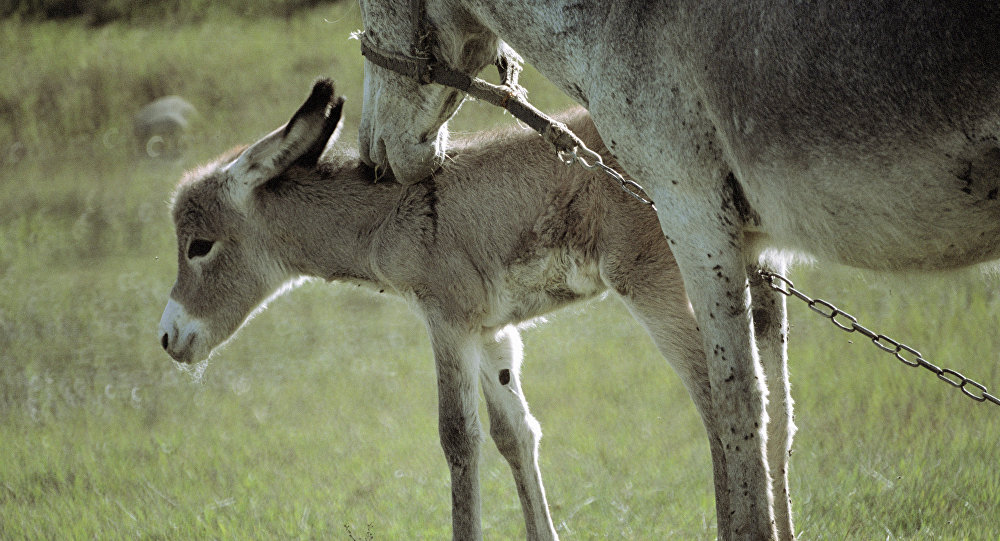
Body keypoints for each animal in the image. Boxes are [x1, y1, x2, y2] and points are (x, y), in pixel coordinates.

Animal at [156, 80, 708, 540]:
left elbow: (458, 438)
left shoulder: (448, 321)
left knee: (712, 383)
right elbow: (514, 434)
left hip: (651, 278)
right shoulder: (490, 332)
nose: (167, 338)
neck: (388, 215)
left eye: (199, 246)